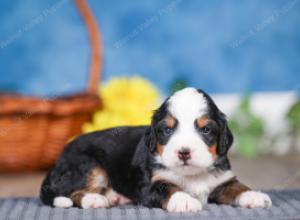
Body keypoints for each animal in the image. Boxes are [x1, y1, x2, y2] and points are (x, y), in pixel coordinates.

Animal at [39, 88, 272, 213]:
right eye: (167, 129)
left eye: (206, 129)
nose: (184, 152)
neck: (192, 175)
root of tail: (60, 158)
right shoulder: (150, 184)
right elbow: (169, 188)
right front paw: (185, 200)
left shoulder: (222, 180)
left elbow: (237, 187)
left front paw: (254, 196)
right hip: (87, 165)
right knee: (72, 192)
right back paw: (94, 199)